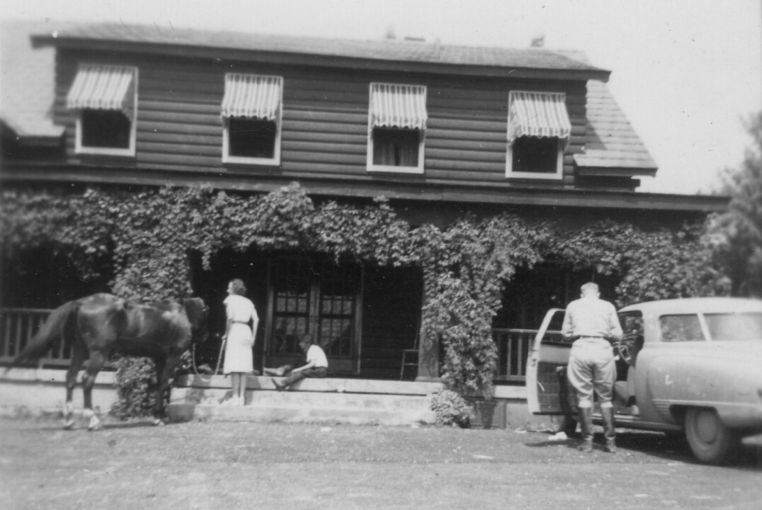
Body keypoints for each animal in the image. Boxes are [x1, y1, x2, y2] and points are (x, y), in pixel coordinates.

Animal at [8, 293, 208, 430]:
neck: (182, 313)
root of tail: (81, 302)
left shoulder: (159, 358)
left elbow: (159, 384)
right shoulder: (171, 357)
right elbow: (162, 384)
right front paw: (158, 418)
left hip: (80, 352)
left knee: (70, 378)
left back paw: (69, 421)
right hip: (98, 354)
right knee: (87, 379)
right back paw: (93, 421)